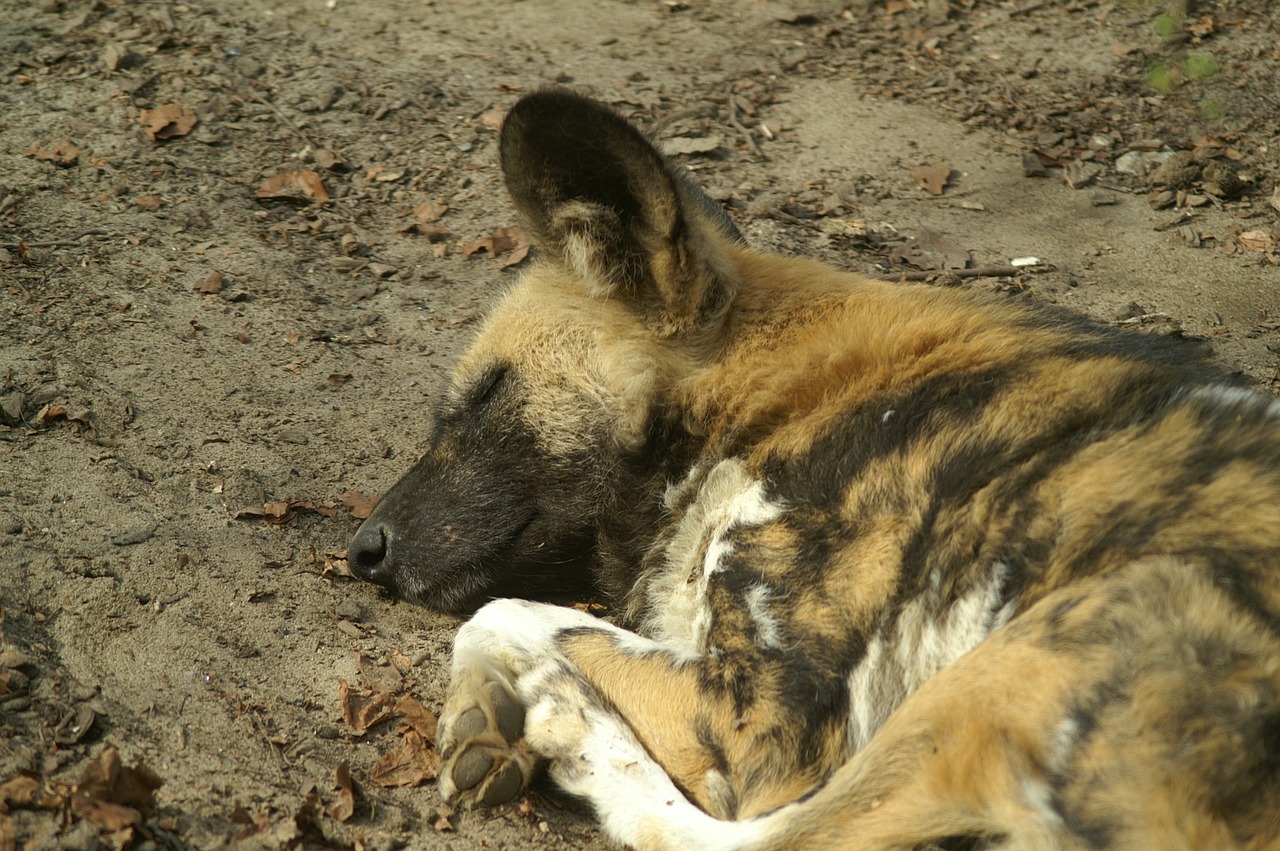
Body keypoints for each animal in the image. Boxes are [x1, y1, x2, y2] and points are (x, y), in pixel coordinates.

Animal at [350, 89, 1280, 844]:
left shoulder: (763, 725)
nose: (362, 549)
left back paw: (577, 726)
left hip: (1029, 656)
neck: (768, 405)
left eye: (486, 394)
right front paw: (477, 721)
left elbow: (507, 614)